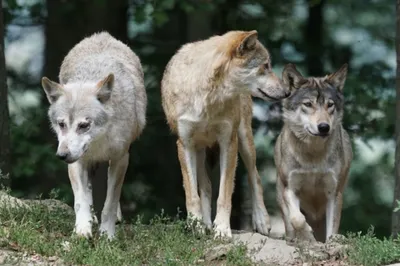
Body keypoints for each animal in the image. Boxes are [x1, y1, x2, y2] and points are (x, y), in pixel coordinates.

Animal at [41, 31, 147, 239]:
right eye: (62, 124)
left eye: (84, 125)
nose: (61, 155)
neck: (98, 143)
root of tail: (101, 35)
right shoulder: (77, 162)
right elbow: (80, 200)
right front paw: (82, 230)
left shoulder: (121, 159)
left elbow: (110, 203)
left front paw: (108, 235)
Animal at [161, 30, 290, 238]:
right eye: (265, 66)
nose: (287, 92)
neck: (208, 97)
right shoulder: (184, 144)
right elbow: (192, 195)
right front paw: (196, 226)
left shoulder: (228, 142)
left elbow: (224, 194)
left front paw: (222, 229)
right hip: (200, 150)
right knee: (205, 186)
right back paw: (205, 224)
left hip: (245, 140)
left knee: (255, 177)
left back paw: (261, 221)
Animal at [276, 63, 354, 244]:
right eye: (308, 104)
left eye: (330, 105)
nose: (324, 127)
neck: (313, 154)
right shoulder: (290, 188)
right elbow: (297, 219)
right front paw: (306, 235)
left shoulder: (334, 193)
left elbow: (332, 228)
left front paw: (331, 240)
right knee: (290, 225)